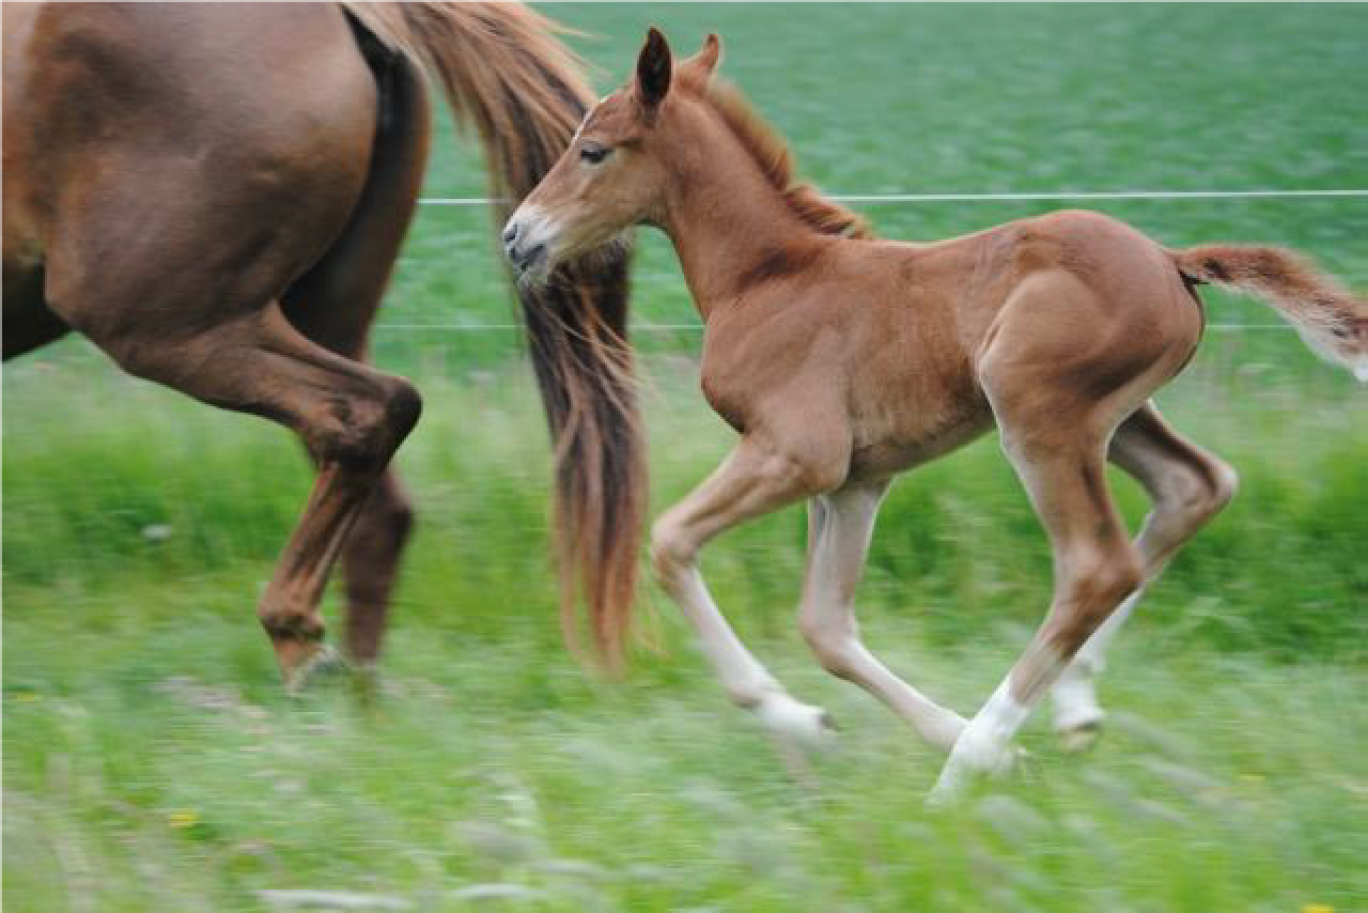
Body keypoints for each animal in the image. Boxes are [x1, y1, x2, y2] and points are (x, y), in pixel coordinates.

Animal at [503, 28, 1368, 799]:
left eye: (593, 149)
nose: (517, 237)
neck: (767, 277)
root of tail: (1171, 261)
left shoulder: (797, 452)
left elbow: (673, 540)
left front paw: (802, 719)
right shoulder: (854, 481)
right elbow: (826, 626)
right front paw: (875, 728)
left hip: (1038, 415)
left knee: (1096, 564)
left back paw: (970, 766)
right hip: (1119, 418)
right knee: (1195, 487)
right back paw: (1071, 707)